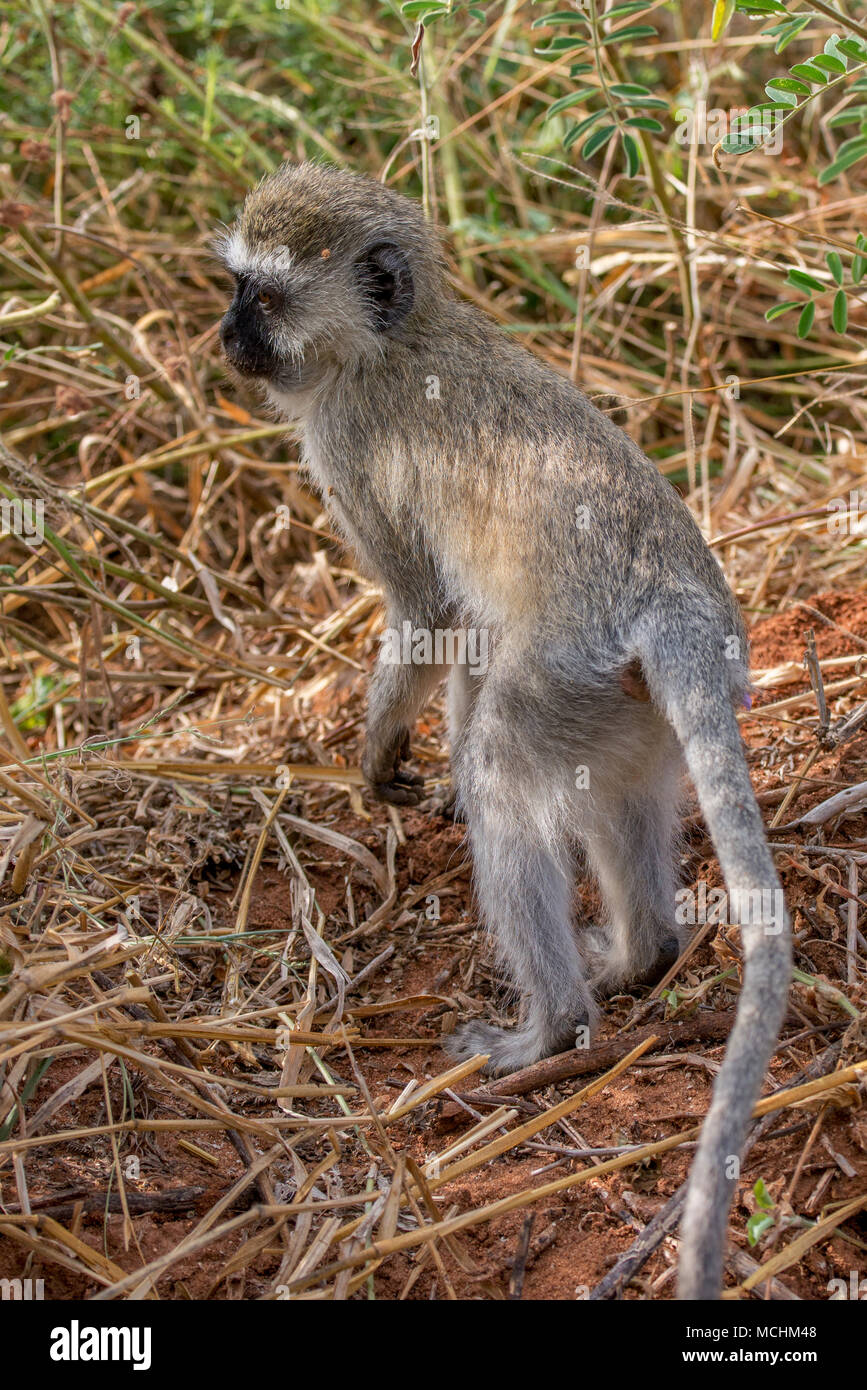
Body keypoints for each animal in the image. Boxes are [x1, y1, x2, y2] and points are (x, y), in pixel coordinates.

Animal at [216, 161, 792, 1300]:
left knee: (503, 773)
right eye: (237, 288)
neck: (396, 338)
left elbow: (430, 608)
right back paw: (641, 954)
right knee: (619, 799)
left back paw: (551, 1029)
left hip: (566, 683)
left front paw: (379, 757)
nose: (226, 333)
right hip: (626, 710)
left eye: (265, 296)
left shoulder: (348, 437)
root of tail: (680, 601)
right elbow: (469, 634)